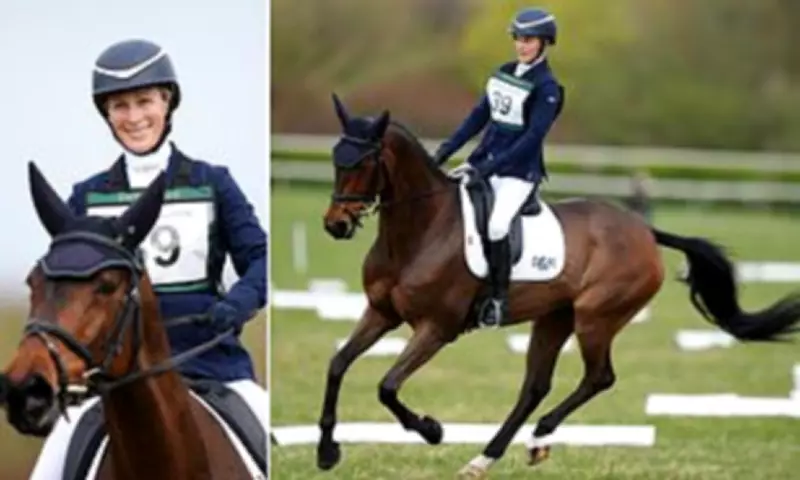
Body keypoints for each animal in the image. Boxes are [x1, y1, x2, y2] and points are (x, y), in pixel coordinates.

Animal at [317, 94, 800, 478]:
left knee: (599, 377)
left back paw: (537, 439)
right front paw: (326, 452)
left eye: (363, 163)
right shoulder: (381, 313)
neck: (420, 230)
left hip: (595, 318)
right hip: (554, 318)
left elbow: (387, 385)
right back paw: (485, 458)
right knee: (534, 387)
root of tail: (644, 230)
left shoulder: (437, 328)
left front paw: (432, 430)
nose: (336, 225)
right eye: (336, 160)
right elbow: (338, 365)